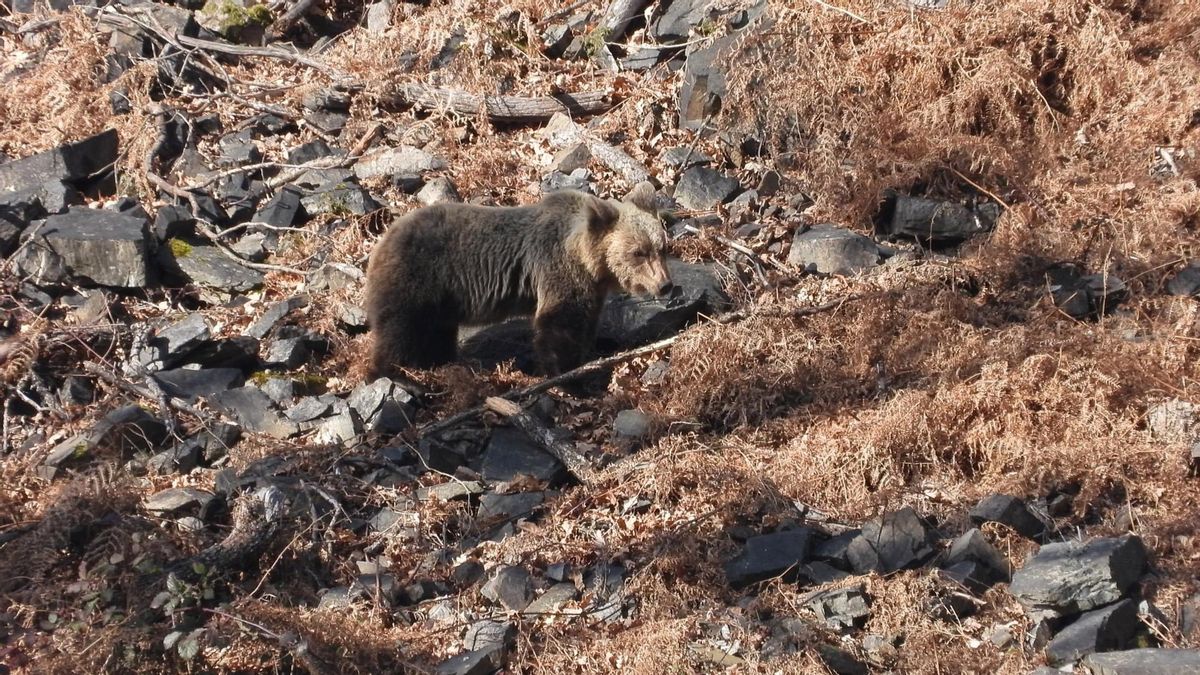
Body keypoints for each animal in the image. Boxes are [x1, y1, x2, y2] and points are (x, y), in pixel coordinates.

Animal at [364, 184, 672, 380]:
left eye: (662, 248)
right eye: (638, 252)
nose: (665, 285)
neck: (588, 260)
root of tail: (383, 240)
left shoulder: (591, 288)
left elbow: (585, 321)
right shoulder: (556, 266)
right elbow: (559, 322)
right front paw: (565, 372)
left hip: (439, 302)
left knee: (435, 334)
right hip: (416, 281)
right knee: (399, 332)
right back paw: (394, 374)